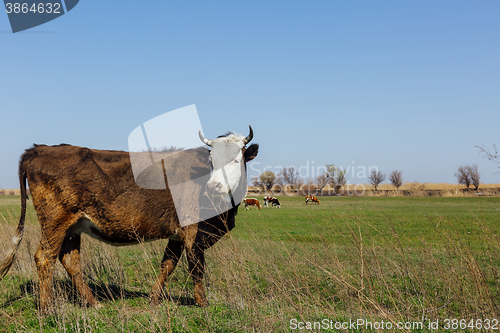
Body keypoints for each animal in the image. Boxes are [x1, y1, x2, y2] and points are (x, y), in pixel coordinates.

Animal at [0, 125, 258, 312]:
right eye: (212, 162)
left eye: (236, 160)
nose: (214, 186)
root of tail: (39, 149)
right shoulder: (193, 231)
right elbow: (196, 267)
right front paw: (203, 304)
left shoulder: (176, 235)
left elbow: (168, 265)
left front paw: (154, 299)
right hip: (55, 222)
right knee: (45, 257)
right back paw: (47, 308)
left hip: (71, 228)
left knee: (70, 261)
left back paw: (93, 303)